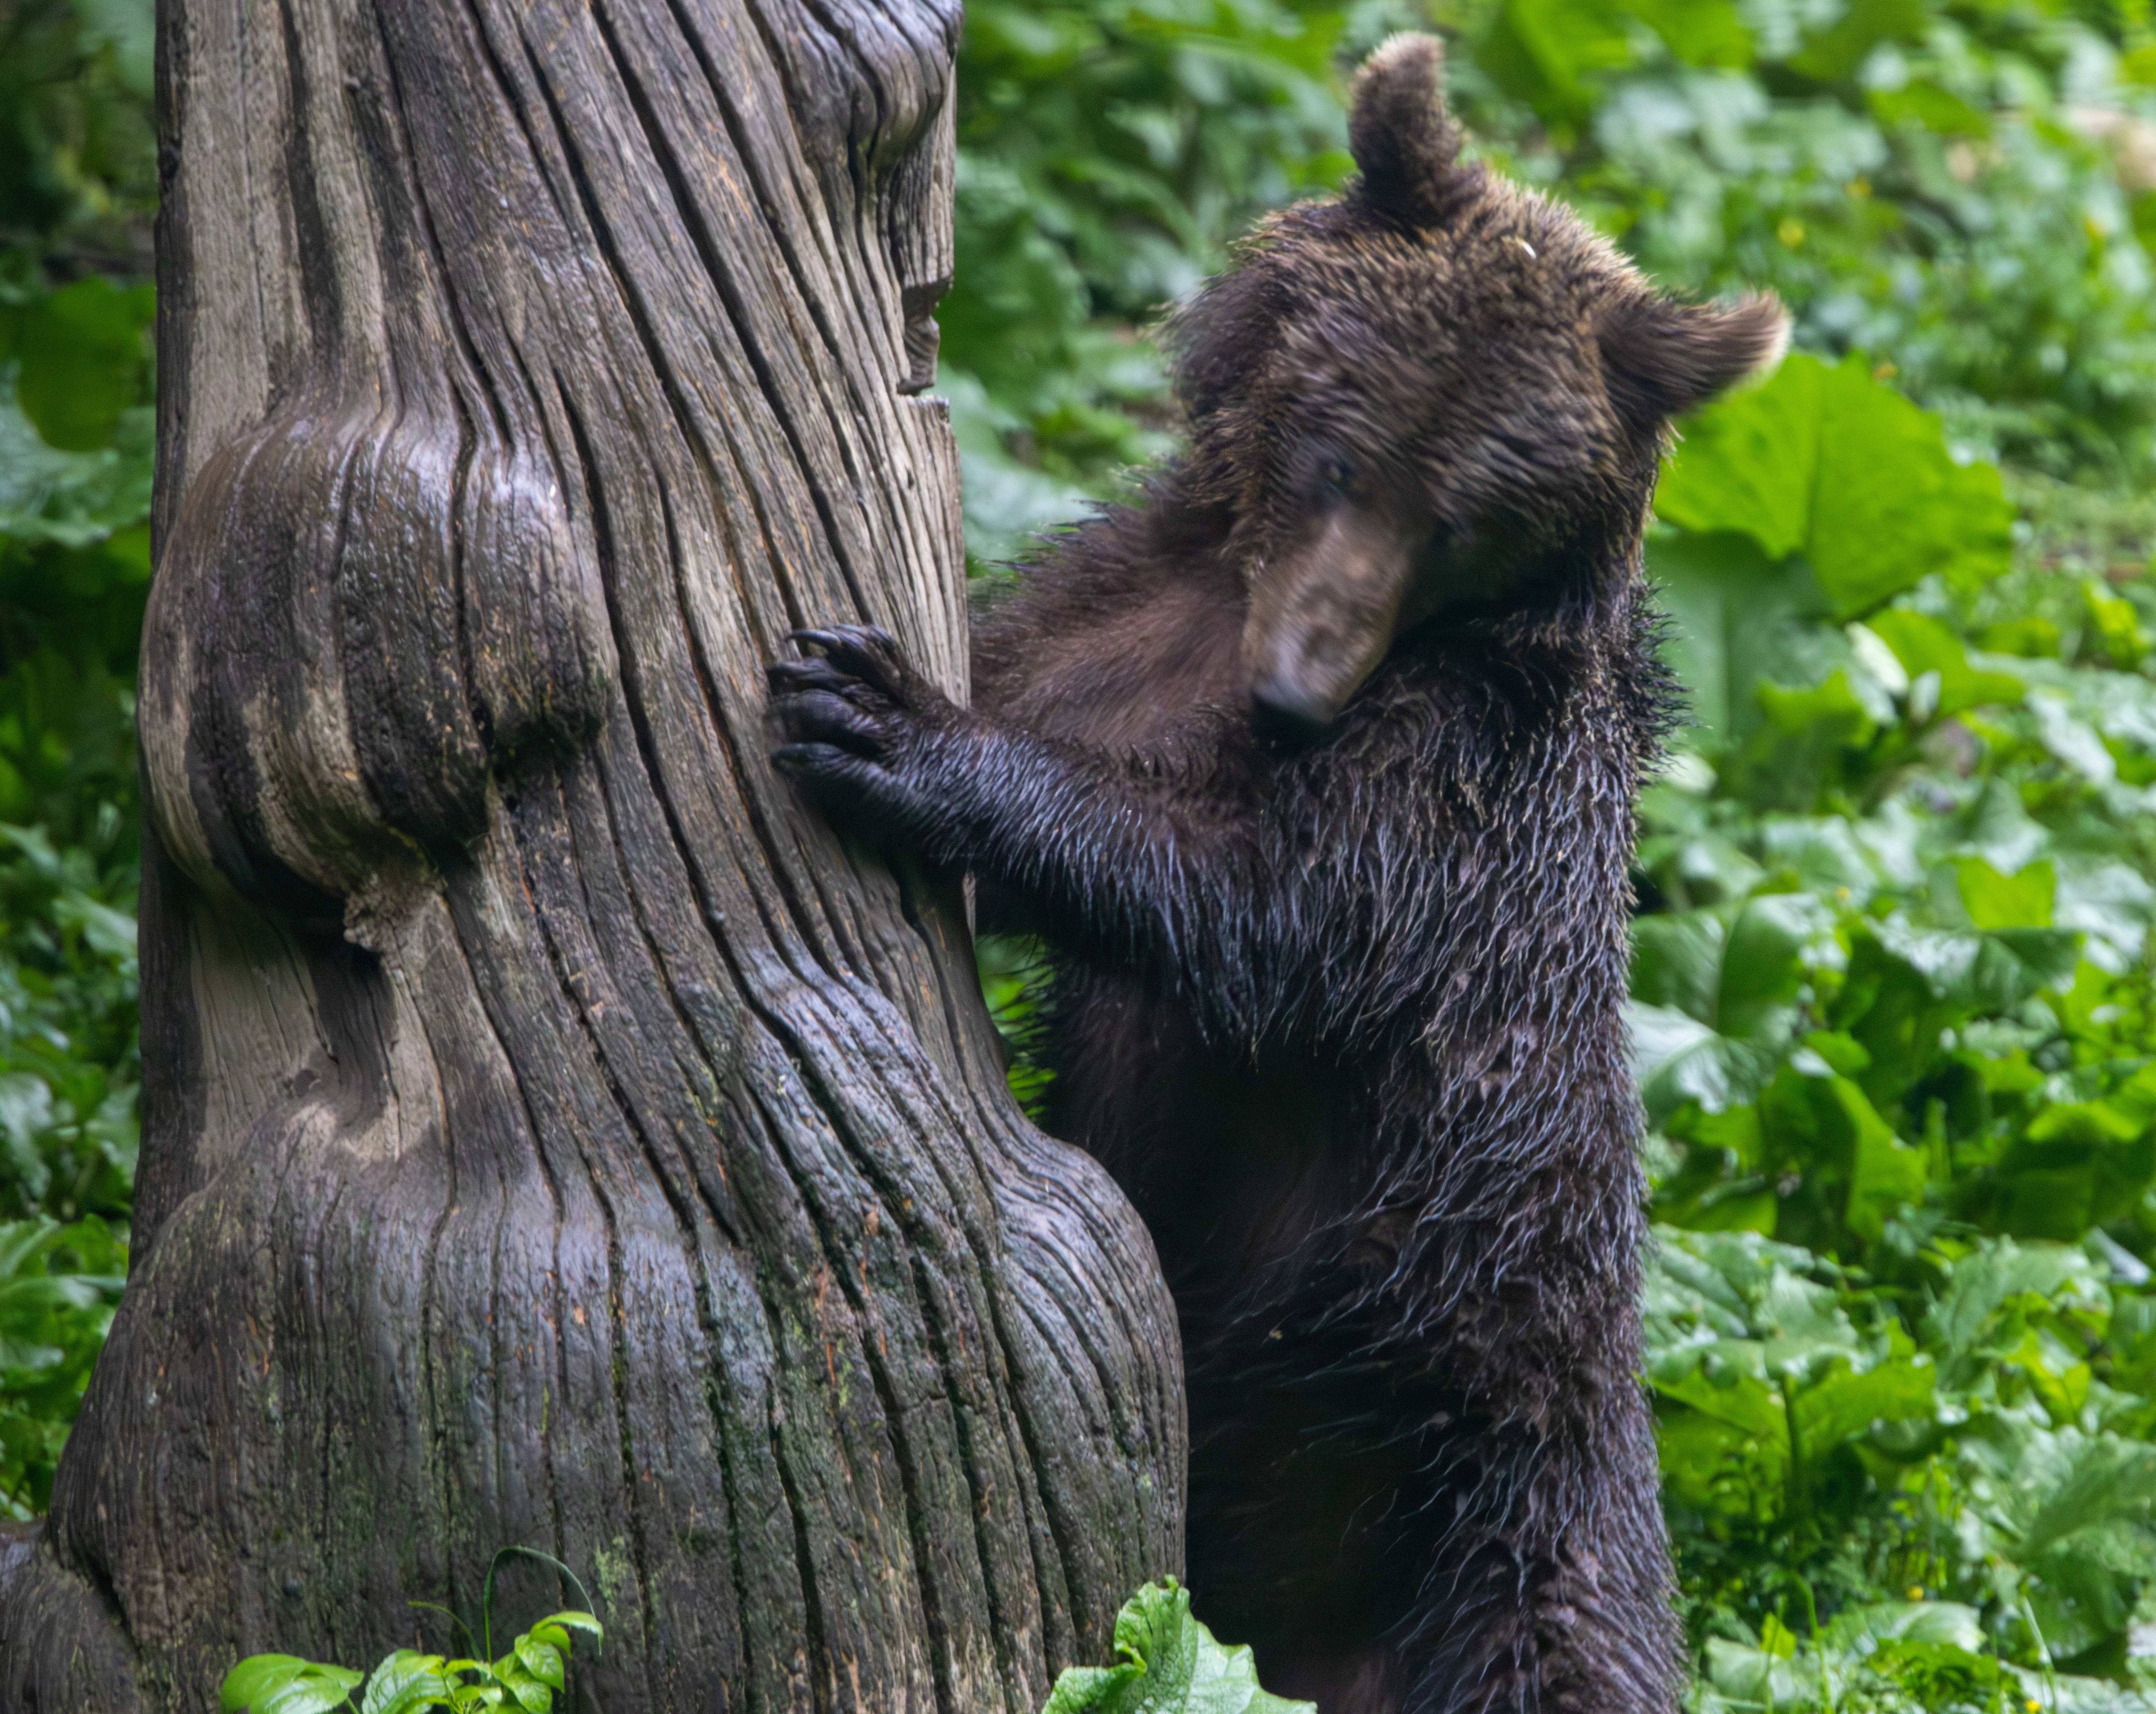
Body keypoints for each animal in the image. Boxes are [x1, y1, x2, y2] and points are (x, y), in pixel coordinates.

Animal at [767, 33, 1785, 1714]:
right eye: (1343, 449)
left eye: (1470, 514)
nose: (1296, 692)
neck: (1230, 605)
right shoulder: (1106, 612)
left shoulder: (1470, 790)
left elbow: (1271, 910)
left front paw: (886, 722)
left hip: (1493, 1495)